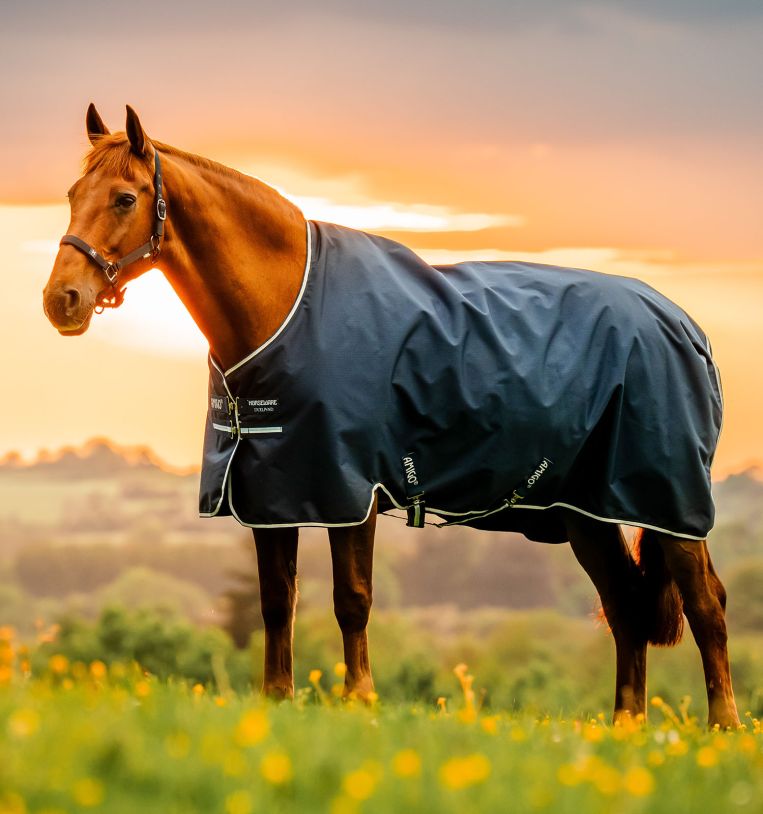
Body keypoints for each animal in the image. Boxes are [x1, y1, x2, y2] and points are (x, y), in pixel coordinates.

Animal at [43, 104, 740, 728]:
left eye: (125, 198)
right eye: (73, 193)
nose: (61, 300)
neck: (287, 307)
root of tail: (685, 326)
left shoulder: (349, 489)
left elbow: (352, 600)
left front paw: (360, 701)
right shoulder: (272, 493)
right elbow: (276, 602)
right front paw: (278, 700)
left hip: (670, 503)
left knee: (706, 605)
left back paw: (724, 728)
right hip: (584, 512)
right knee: (625, 607)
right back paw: (627, 727)